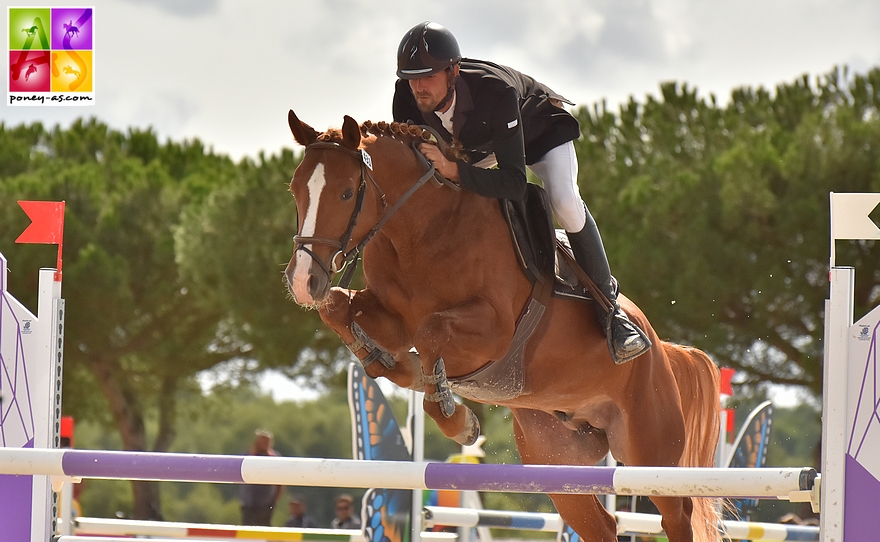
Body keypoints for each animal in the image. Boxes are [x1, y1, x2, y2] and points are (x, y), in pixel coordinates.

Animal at [284, 110, 720, 542]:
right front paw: (391, 365)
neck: (421, 231)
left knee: (677, 515)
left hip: (650, 451)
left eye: (345, 193)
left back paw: (623, 334)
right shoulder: (393, 319)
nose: (304, 281)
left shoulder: (494, 332)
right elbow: (338, 309)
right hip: (557, 461)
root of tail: (663, 348)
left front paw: (457, 418)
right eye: (295, 191)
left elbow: (431, 332)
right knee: (601, 524)